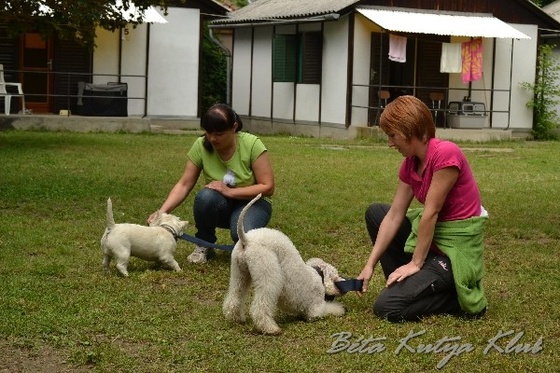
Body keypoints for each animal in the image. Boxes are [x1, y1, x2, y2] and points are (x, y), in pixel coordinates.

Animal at [223, 193, 346, 332]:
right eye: (335, 277)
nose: (343, 287)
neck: (319, 275)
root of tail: (246, 239)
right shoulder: (316, 309)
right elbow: (328, 309)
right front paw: (341, 309)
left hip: (239, 271)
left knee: (235, 295)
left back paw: (235, 318)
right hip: (268, 270)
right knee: (260, 306)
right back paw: (271, 328)